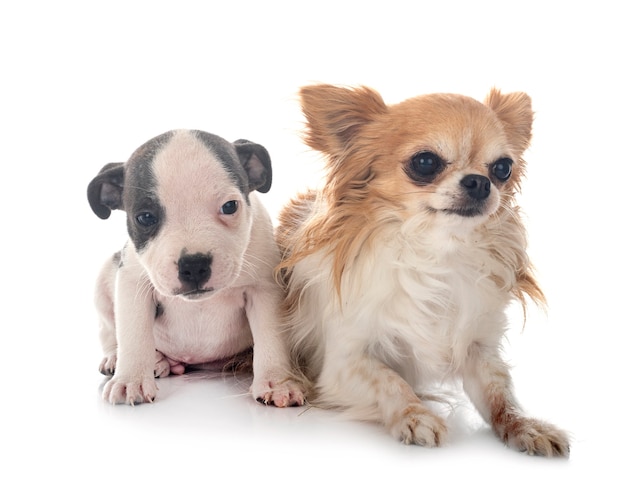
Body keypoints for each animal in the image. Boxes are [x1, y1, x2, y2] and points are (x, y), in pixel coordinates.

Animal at [87, 129, 304, 406]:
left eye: (230, 206)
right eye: (145, 217)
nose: (193, 265)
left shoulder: (264, 291)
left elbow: (272, 336)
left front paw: (278, 382)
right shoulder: (132, 283)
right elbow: (133, 335)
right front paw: (130, 380)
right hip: (105, 279)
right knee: (109, 330)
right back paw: (128, 358)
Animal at [276, 84, 568, 456]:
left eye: (503, 168)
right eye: (425, 162)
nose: (480, 181)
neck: (434, 253)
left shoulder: (478, 349)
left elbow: (500, 394)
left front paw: (525, 425)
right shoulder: (341, 364)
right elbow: (390, 380)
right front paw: (415, 415)